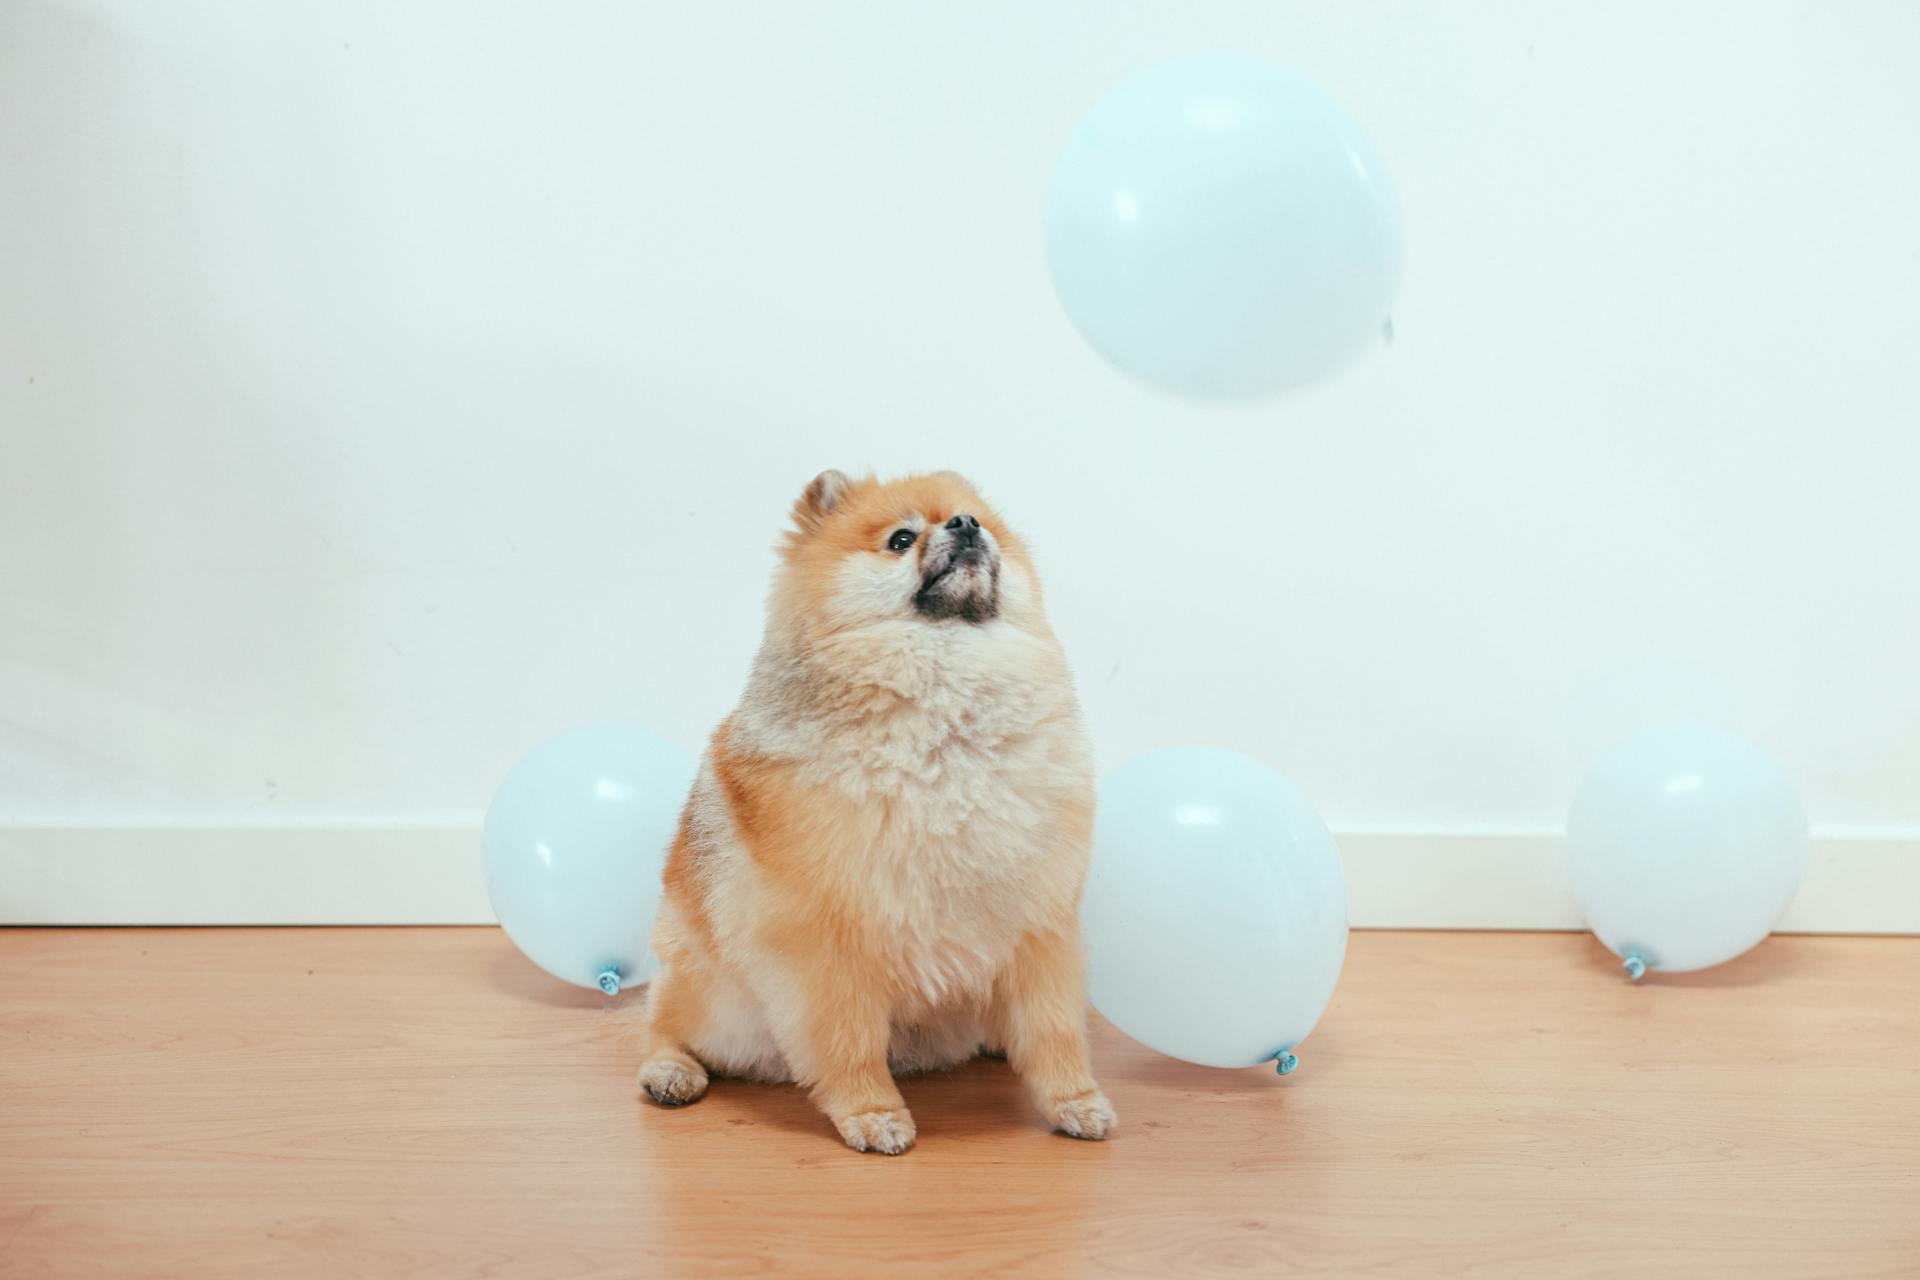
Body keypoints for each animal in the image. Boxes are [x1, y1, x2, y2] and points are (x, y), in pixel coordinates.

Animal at [637, 470, 1121, 1151]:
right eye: (900, 539)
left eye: (979, 522)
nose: (966, 526)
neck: (946, 735)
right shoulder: (829, 944)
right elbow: (849, 1040)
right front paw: (873, 1113)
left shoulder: (1038, 924)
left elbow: (1054, 1031)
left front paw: (1074, 1102)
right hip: (708, 991)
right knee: (662, 1025)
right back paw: (671, 1072)